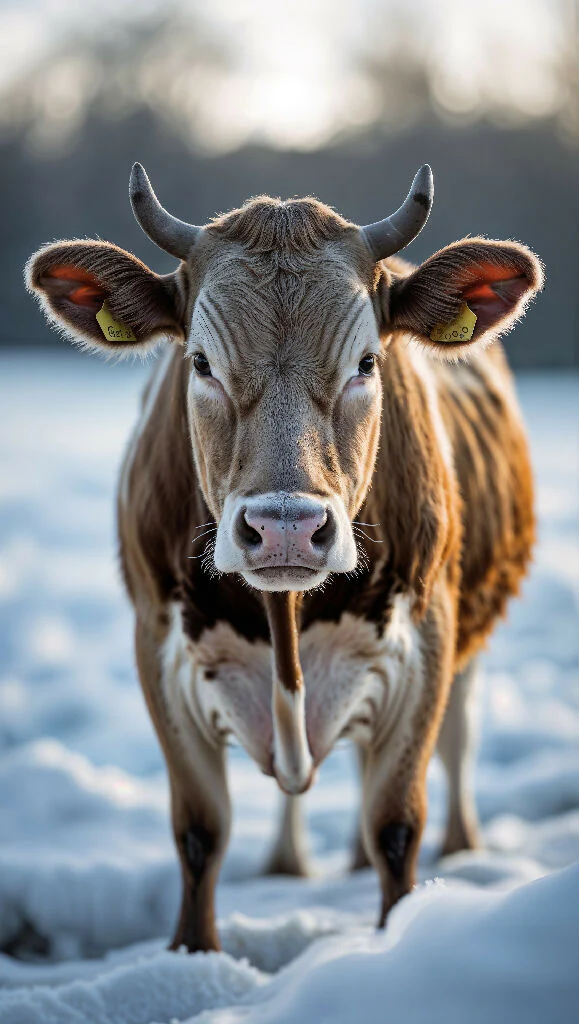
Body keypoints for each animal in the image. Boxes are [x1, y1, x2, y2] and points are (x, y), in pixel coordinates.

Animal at [26, 163, 543, 953]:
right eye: (200, 362)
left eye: (368, 362)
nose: (286, 528)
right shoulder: (158, 648)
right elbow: (199, 833)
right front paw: (193, 953)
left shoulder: (425, 639)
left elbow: (397, 824)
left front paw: (395, 939)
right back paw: (291, 864)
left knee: (457, 741)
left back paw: (462, 847)